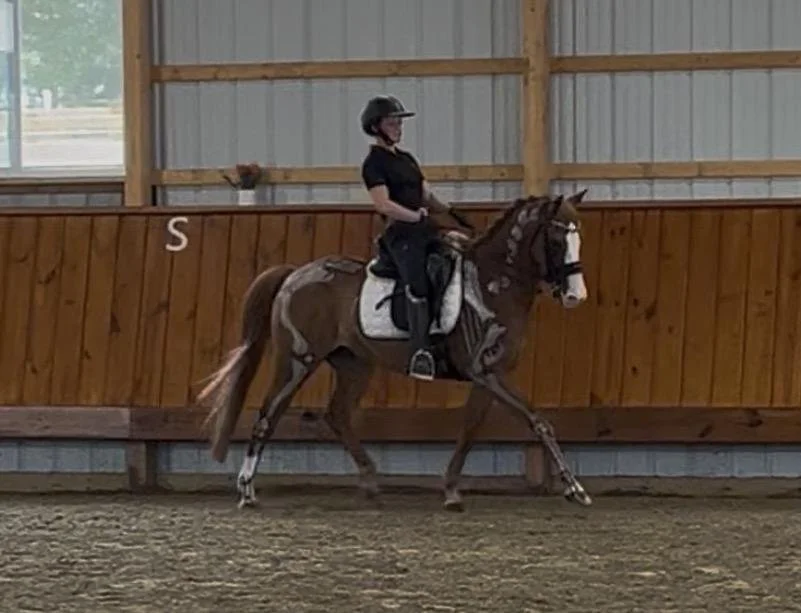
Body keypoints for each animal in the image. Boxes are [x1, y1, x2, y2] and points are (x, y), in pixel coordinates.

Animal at [196, 189, 591, 512]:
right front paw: (575, 488)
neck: (493, 284)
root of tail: (295, 275)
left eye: (578, 239)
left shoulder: (488, 376)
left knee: (337, 415)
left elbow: (471, 429)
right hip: (298, 359)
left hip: (354, 365)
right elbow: (538, 421)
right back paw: (247, 490)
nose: (576, 296)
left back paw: (371, 482)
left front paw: (451, 489)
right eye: (557, 240)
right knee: (269, 413)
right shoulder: (486, 371)